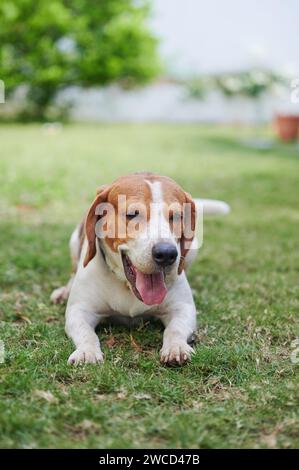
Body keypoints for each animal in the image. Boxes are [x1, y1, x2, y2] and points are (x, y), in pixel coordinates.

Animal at [51, 173, 230, 368]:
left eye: (177, 216)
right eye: (132, 214)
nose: (166, 254)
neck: (127, 287)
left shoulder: (183, 309)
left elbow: (175, 330)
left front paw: (176, 347)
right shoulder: (80, 311)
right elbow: (86, 333)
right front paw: (87, 352)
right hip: (73, 241)